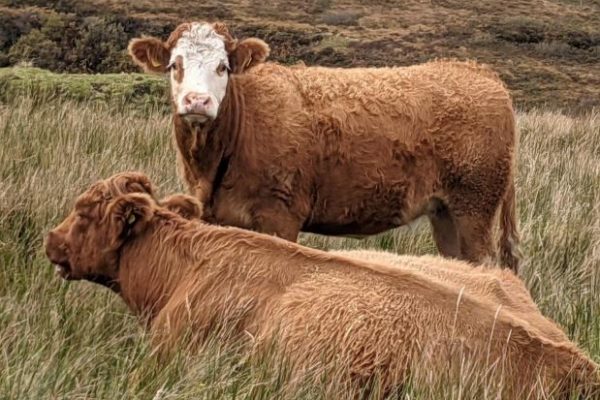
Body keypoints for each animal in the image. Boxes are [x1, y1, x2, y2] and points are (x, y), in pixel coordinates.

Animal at [126, 21, 520, 272]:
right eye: (174, 65)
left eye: (223, 67)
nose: (197, 101)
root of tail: (479, 71)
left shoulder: (280, 215)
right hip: (445, 211)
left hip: (475, 206)